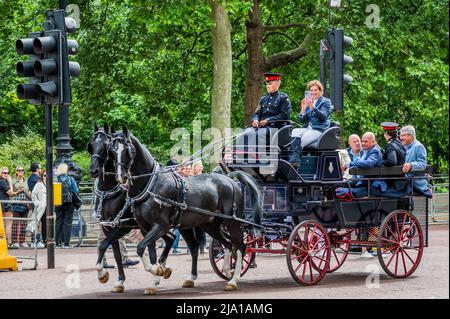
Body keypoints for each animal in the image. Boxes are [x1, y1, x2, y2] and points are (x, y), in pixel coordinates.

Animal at [87, 124, 175, 296]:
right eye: (91, 144)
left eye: (106, 146)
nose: (93, 170)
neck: (110, 192)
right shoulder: (108, 227)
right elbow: (112, 252)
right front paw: (117, 281)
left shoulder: (123, 227)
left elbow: (105, 247)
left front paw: (104, 275)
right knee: (170, 238)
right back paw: (163, 268)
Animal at [109, 127, 264, 292]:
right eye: (112, 150)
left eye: (128, 150)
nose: (121, 177)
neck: (151, 185)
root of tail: (230, 179)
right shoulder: (145, 228)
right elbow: (148, 252)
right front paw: (156, 278)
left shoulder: (161, 226)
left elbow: (140, 248)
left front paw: (159, 270)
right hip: (209, 225)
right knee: (227, 244)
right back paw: (226, 272)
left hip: (232, 222)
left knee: (240, 246)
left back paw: (234, 280)